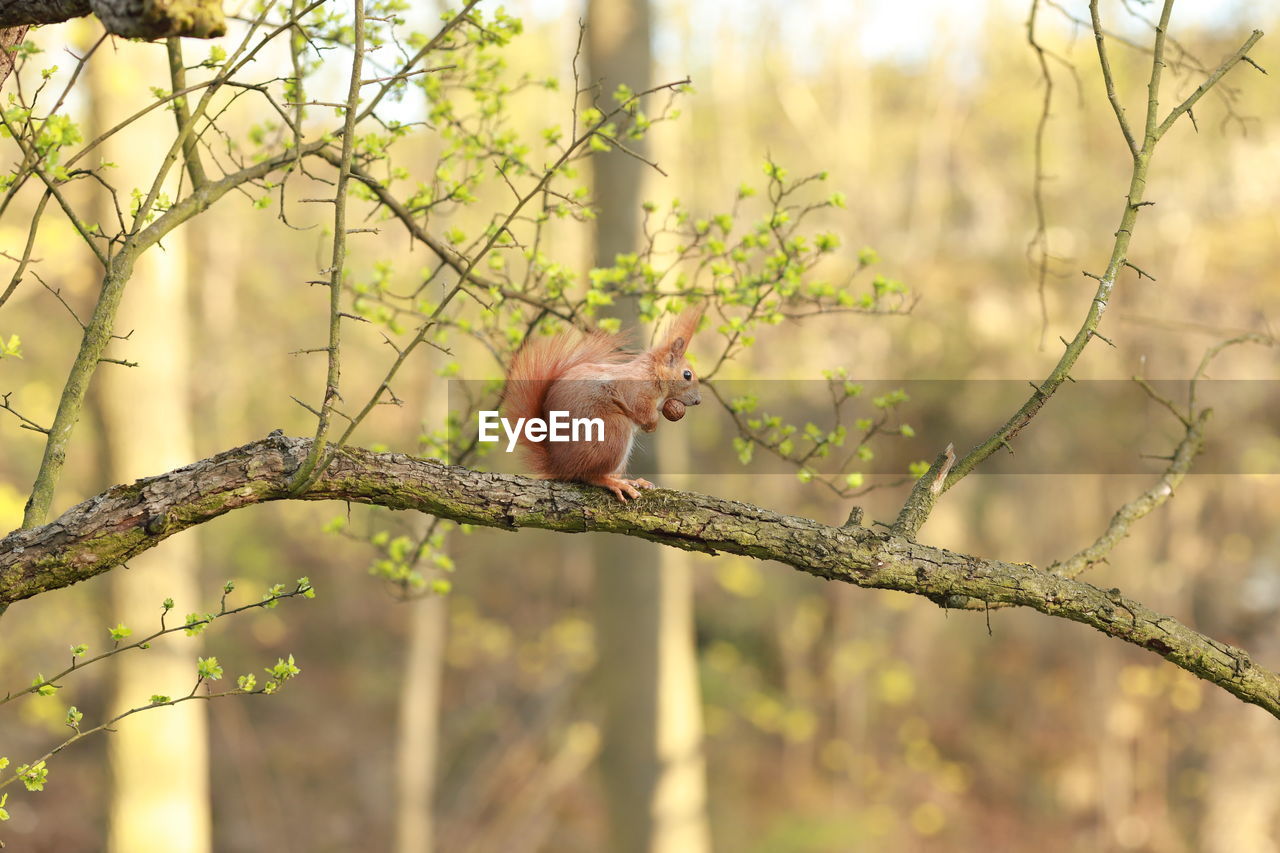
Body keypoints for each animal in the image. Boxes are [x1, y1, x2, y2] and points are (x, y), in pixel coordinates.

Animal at [501, 306, 706, 502]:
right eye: (687, 375)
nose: (698, 400)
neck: (651, 373)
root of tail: (558, 465)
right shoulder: (636, 392)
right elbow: (643, 412)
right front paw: (653, 425)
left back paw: (629, 481)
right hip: (613, 432)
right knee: (588, 475)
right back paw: (615, 483)